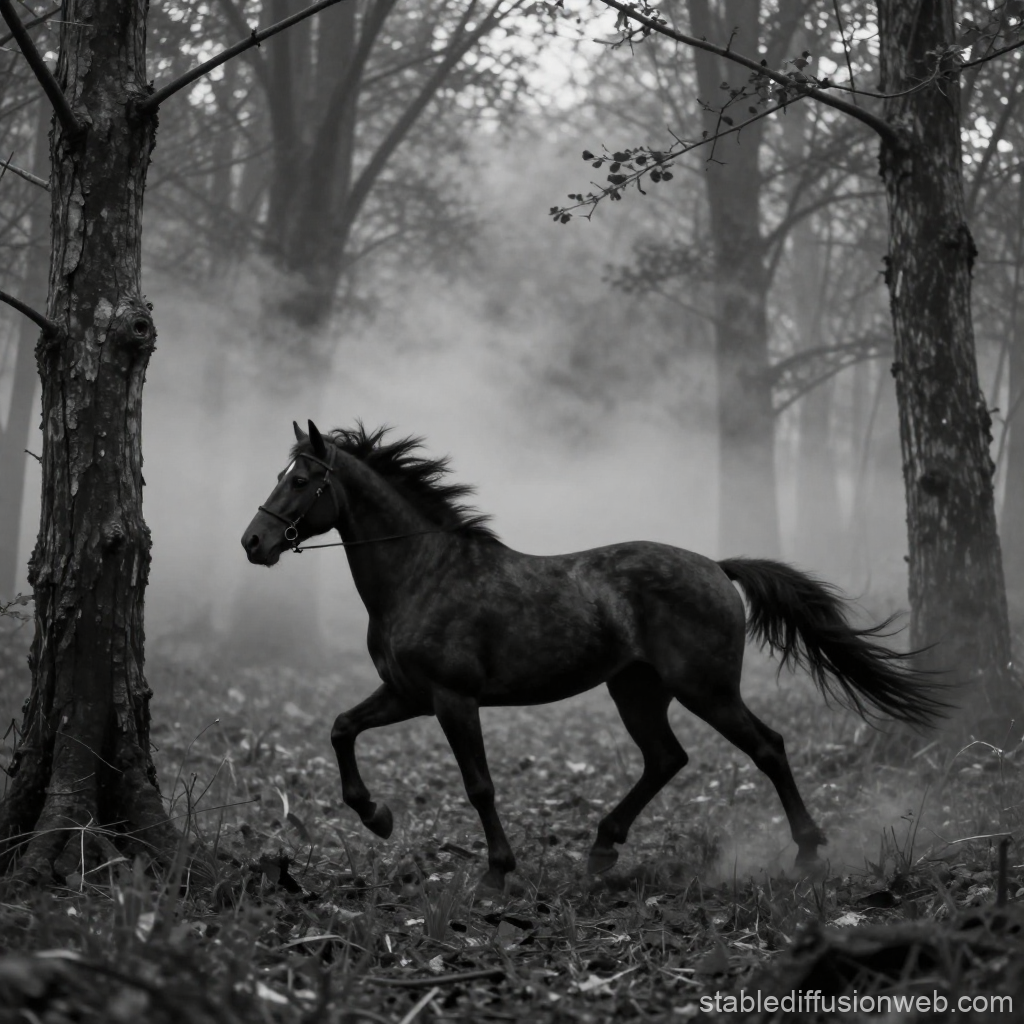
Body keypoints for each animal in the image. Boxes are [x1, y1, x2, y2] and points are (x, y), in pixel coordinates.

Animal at [242, 420, 948, 890]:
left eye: (300, 480)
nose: (253, 543)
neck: (423, 573)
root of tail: (717, 568)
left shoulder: (452, 698)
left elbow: (479, 785)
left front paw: (496, 873)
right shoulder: (408, 694)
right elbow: (342, 729)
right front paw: (378, 816)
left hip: (705, 688)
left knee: (766, 748)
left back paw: (806, 849)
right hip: (636, 688)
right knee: (666, 758)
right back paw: (604, 848)